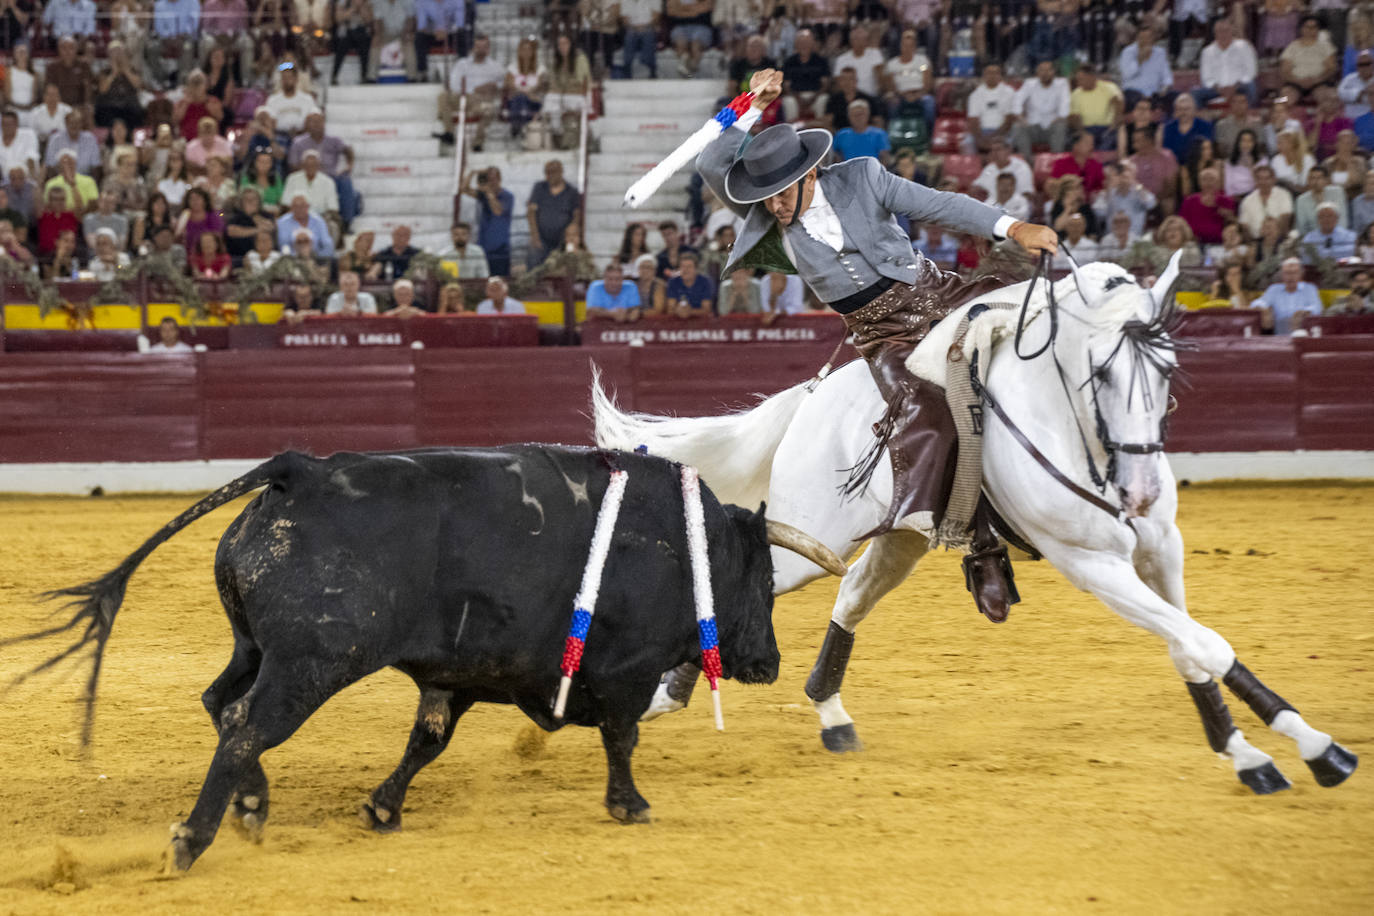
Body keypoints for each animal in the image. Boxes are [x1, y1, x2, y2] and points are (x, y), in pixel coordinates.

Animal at [13, 450, 835, 873]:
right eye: (765, 582)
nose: (769, 662)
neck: (688, 546)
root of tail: (299, 470)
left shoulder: (459, 674)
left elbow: (427, 741)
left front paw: (382, 807)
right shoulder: (626, 673)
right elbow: (622, 738)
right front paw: (629, 805)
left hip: (257, 647)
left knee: (221, 705)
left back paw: (253, 807)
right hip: (312, 662)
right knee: (247, 724)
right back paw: (193, 839)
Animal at [590, 254, 1352, 791]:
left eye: (1166, 370)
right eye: (1100, 374)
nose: (1136, 493)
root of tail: (812, 396)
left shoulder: (1160, 549)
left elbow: (1189, 646)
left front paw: (1255, 752)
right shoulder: (1092, 565)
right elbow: (1207, 644)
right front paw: (1311, 749)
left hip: (898, 537)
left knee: (852, 593)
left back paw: (828, 712)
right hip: (811, 537)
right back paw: (666, 694)